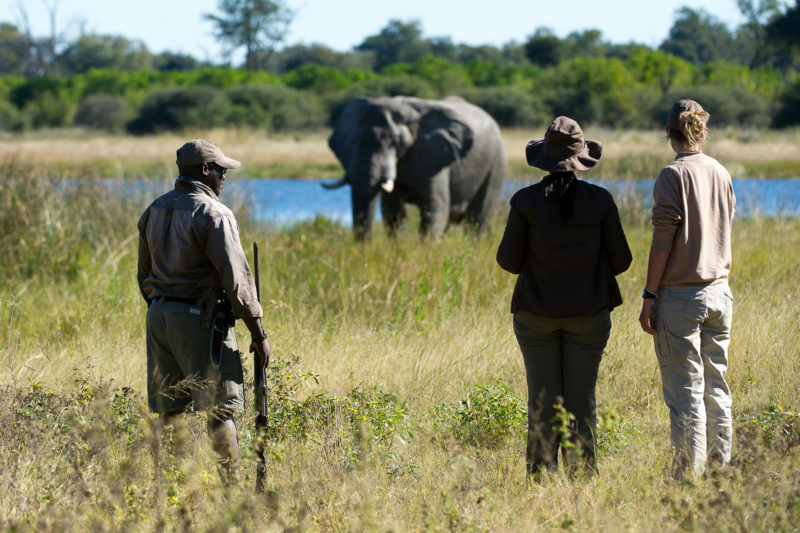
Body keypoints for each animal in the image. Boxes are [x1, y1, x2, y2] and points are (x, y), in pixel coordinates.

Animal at [320, 94, 504, 238]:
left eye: (397, 143)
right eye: (352, 143)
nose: (363, 249)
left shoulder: (432, 154)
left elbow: (434, 209)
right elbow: (392, 212)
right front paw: (398, 247)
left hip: (496, 163)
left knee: (477, 218)